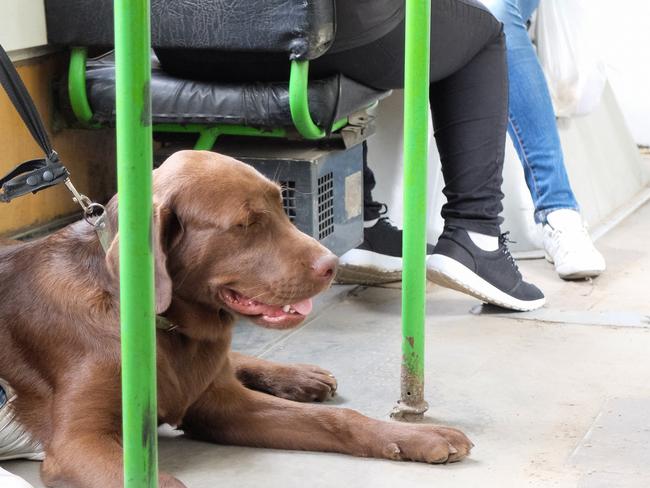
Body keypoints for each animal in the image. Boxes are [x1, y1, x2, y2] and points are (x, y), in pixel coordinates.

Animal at [0, 151, 468, 486]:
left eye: (281, 206)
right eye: (246, 224)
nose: (332, 264)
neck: (166, 332)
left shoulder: (222, 407)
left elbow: (339, 419)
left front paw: (419, 437)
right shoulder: (78, 443)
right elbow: (166, 483)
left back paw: (301, 377)